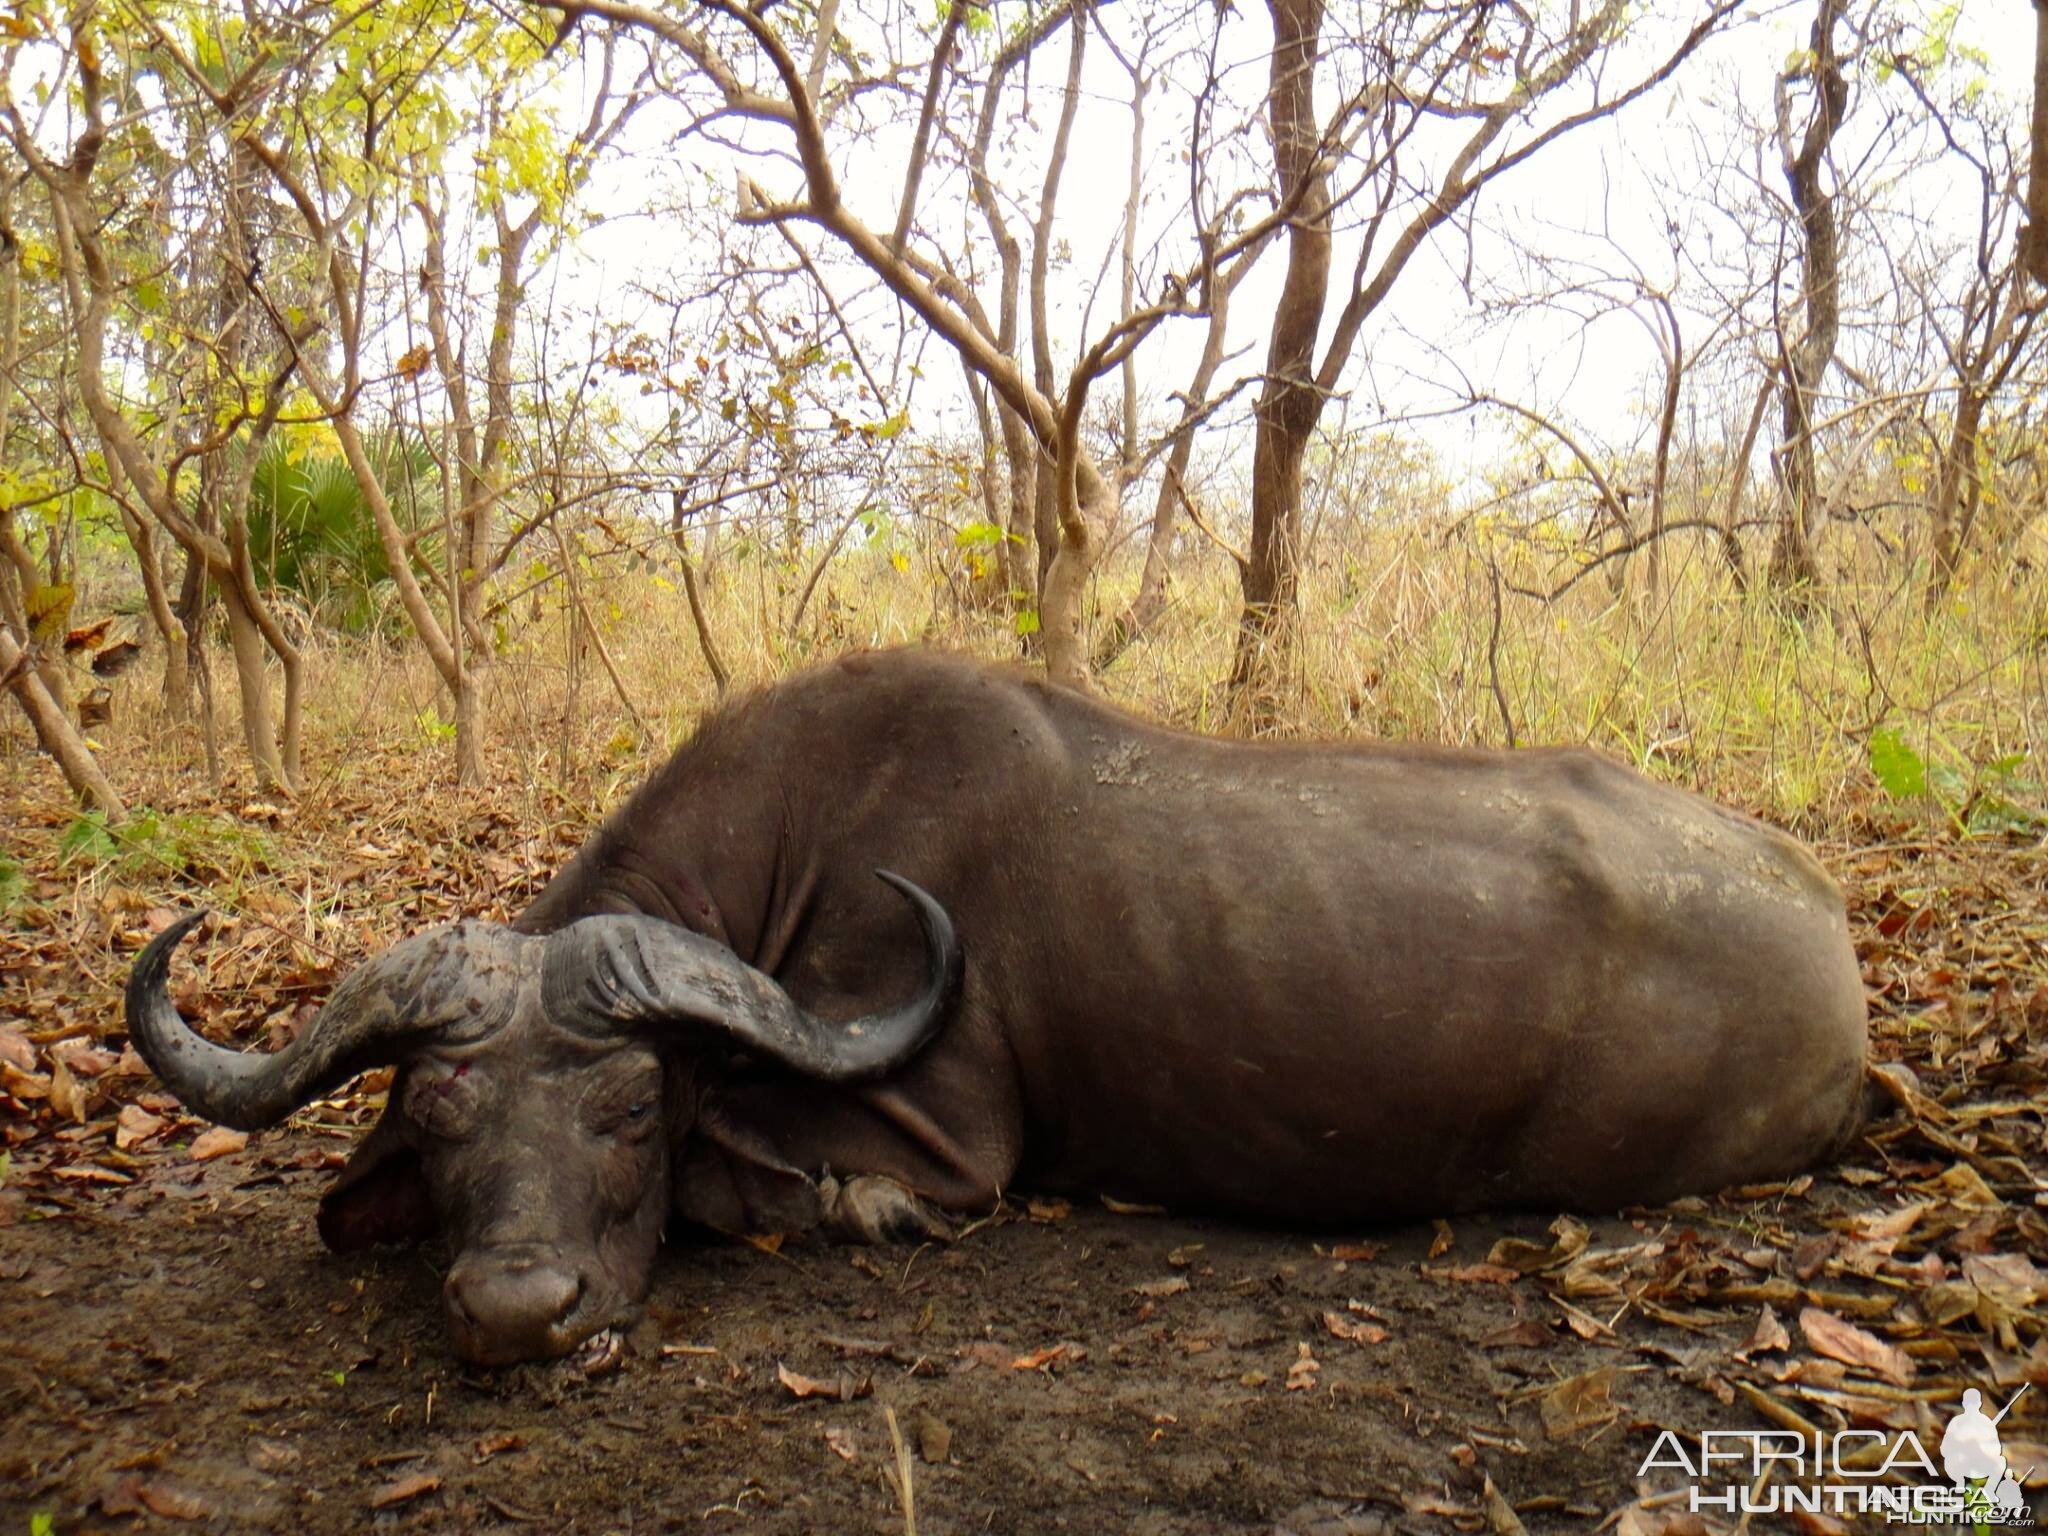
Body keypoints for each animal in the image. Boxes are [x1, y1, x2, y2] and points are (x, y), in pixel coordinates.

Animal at [119, 643, 1867, 1368]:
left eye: (625, 1108)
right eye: (438, 1113)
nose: (515, 1310)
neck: (797, 847)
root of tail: (1829, 930)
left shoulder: (947, 1143)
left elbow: (769, 1189)